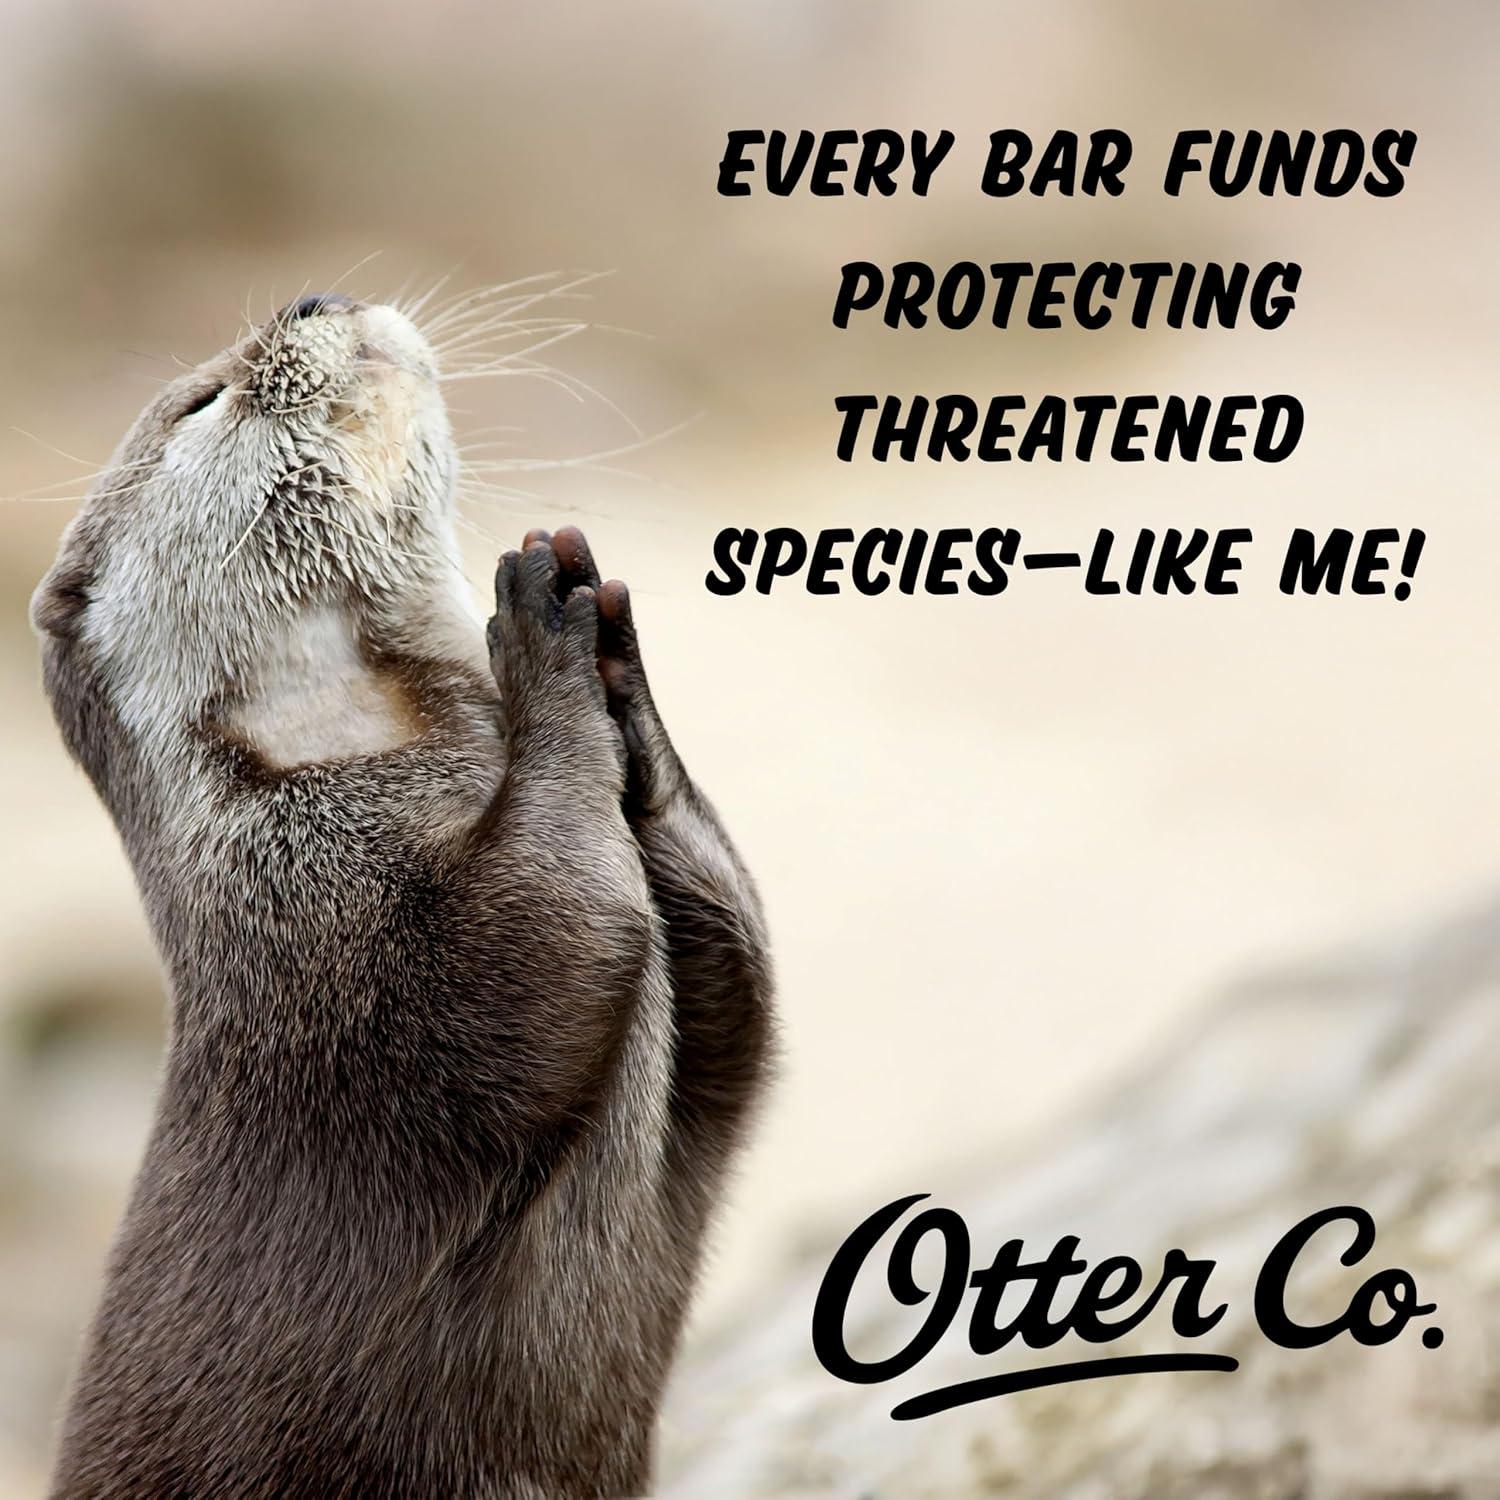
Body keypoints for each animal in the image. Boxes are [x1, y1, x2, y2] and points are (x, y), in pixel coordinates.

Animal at [30, 291, 773, 1498]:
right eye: (203, 400)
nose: (311, 298)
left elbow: (738, 992)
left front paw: (615, 661)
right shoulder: (334, 938)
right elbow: (549, 934)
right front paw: (540, 633)